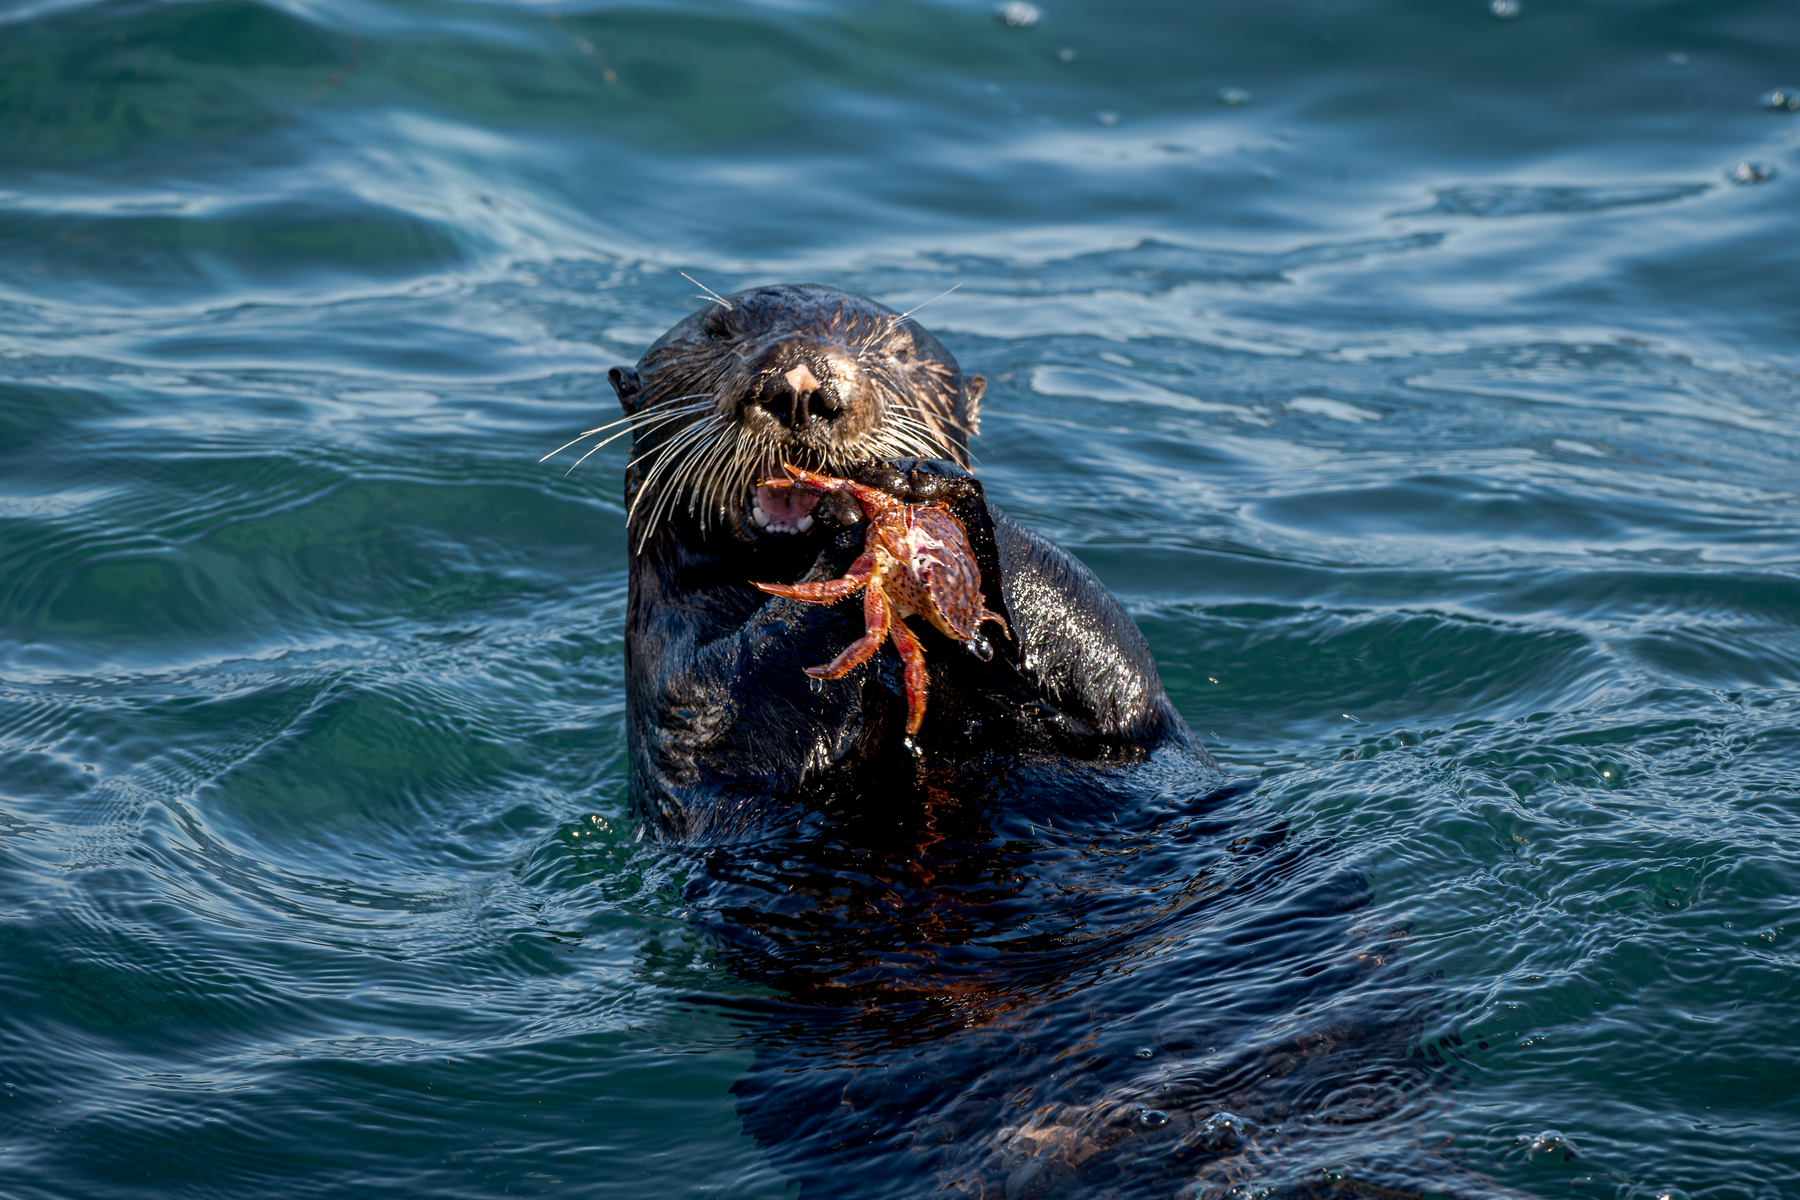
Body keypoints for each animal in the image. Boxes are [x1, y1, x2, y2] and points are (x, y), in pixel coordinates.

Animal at [583, 284, 1517, 1200]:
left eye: (893, 346)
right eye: (718, 329)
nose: (807, 383)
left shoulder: (1118, 695)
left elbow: (1111, 669)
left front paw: (930, 488)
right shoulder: (673, 698)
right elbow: (726, 715)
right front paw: (856, 530)